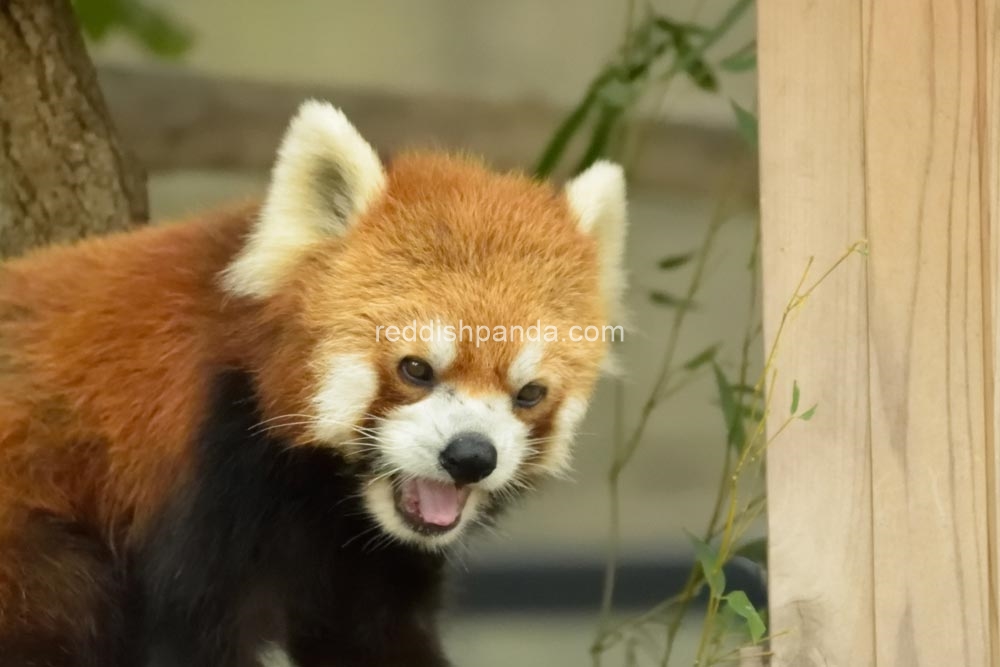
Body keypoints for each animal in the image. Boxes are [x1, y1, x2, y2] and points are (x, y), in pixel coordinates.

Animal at [0, 100, 624, 667]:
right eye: (416, 369)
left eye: (529, 393)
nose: (470, 456)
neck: (320, 493)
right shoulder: (203, 473)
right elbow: (187, 636)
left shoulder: (366, 558)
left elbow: (371, 636)